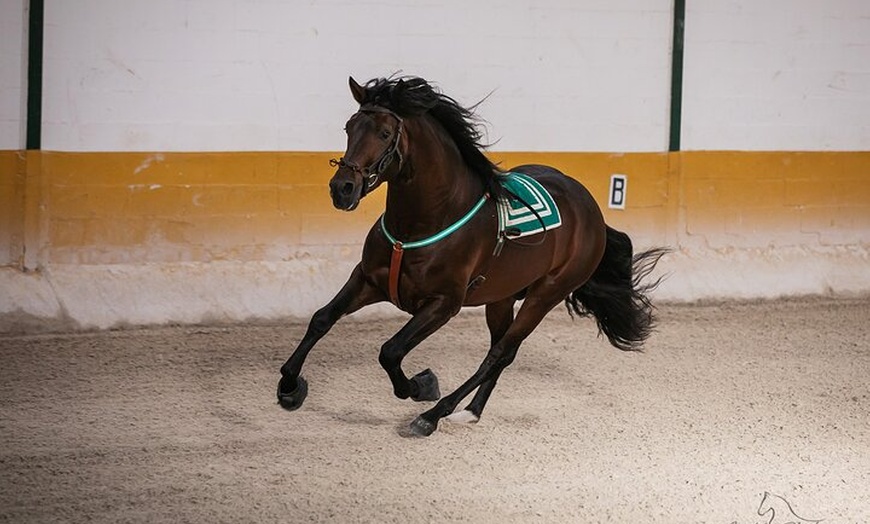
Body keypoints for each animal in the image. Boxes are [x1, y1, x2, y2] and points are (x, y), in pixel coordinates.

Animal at [278, 77, 668, 438]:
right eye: (349, 127)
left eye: (385, 132)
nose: (342, 189)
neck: (419, 225)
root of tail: (591, 210)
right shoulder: (368, 279)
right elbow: (322, 319)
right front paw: (289, 386)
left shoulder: (443, 304)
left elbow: (390, 350)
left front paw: (421, 386)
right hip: (502, 297)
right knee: (499, 350)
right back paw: (471, 411)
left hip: (545, 295)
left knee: (500, 354)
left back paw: (434, 414)